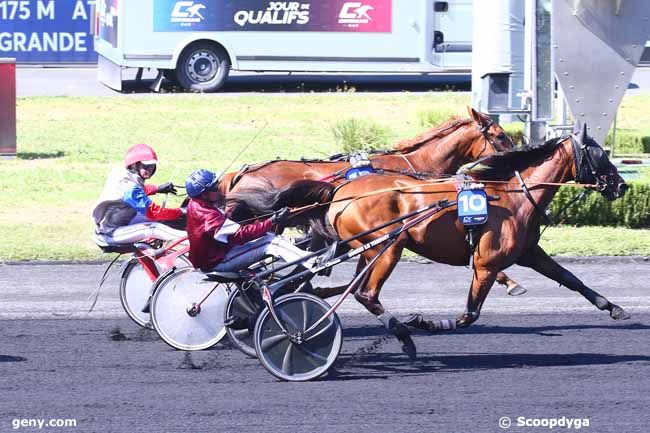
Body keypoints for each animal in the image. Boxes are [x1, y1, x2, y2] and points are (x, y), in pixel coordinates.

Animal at [238, 123, 628, 356]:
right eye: (599, 155)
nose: (622, 185)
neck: (513, 195)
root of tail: (339, 188)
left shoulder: (529, 252)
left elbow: (570, 278)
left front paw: (613, 307)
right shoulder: (486, 263)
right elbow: (470, 314)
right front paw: (425, 322)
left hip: (367, 248)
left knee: (344, 286)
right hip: (388, 246)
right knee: (365, 293)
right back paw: (402, 335)